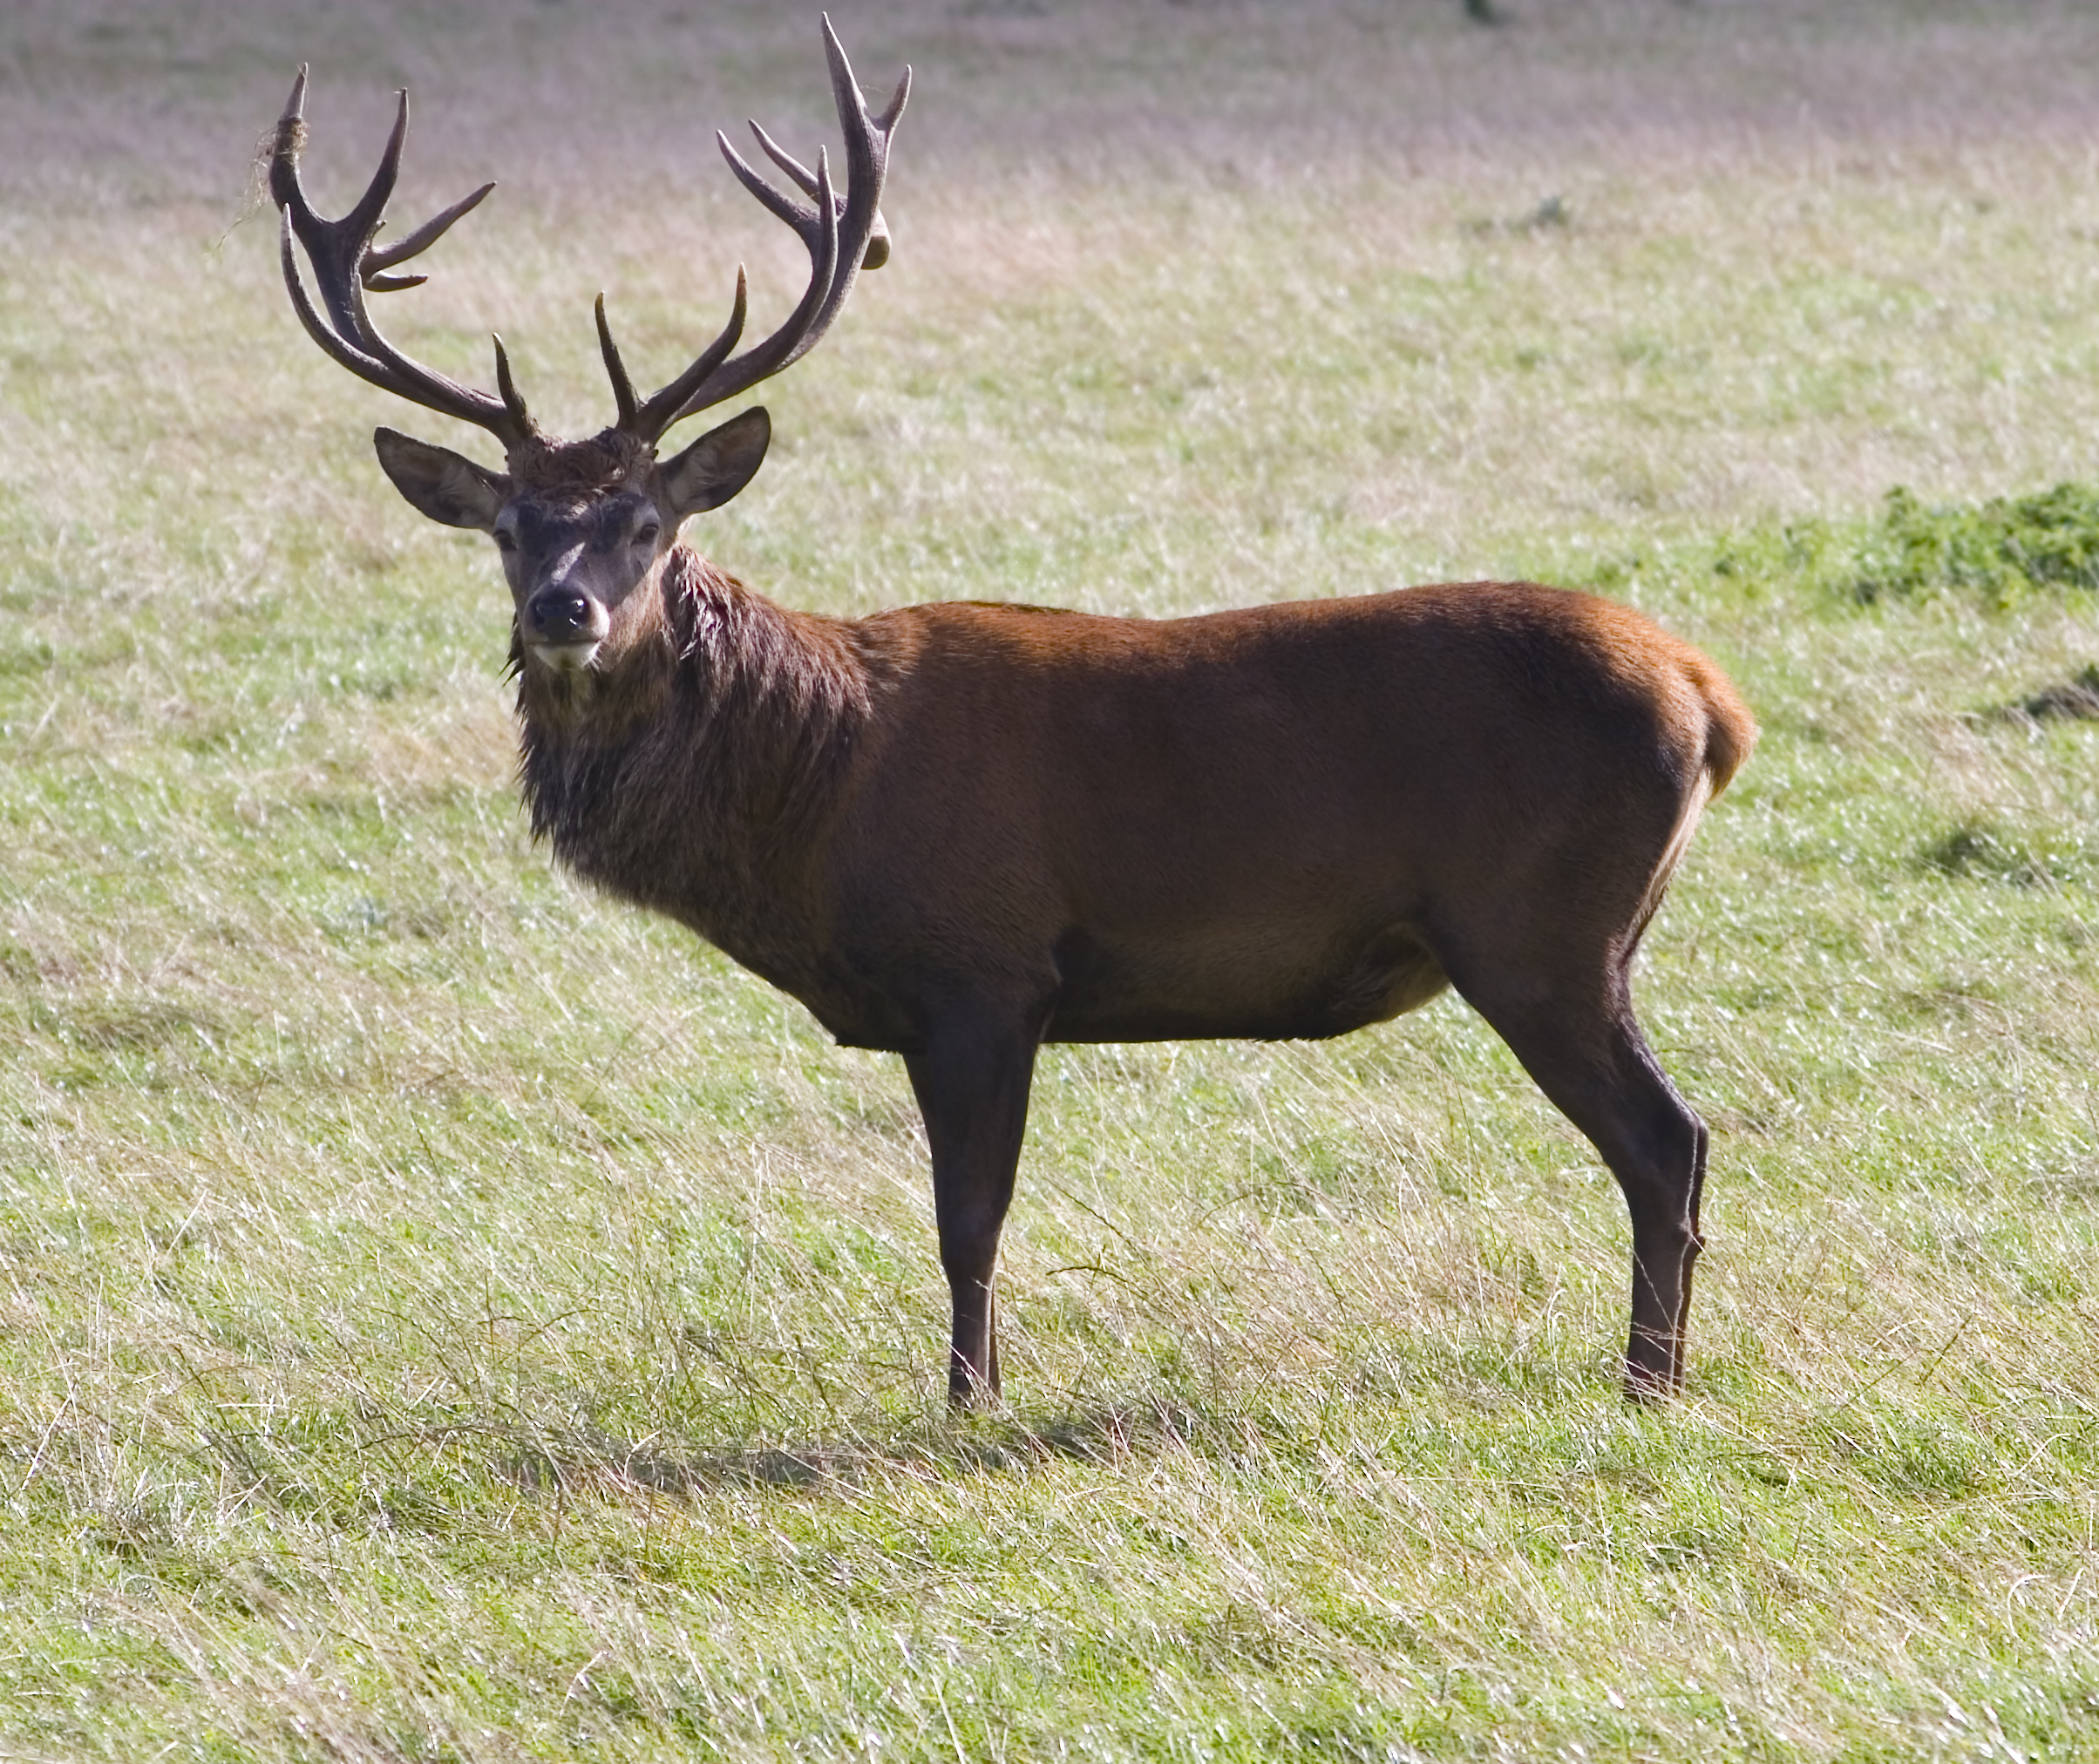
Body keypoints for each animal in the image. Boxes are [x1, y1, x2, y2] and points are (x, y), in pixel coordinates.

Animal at [270, 20, 1763, 1409]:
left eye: (645, 522)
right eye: (511, 528)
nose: (563, 611)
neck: (814, 800)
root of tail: (1713, 698)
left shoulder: (984, 963)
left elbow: (967, 1221)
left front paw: (969, 1401)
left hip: (1540, 926)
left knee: (1668, 1140)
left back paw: (1649, 1379)